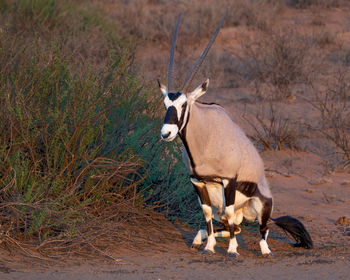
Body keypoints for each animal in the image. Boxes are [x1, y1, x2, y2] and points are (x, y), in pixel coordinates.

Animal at [158, 13, 312, 258]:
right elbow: (206, 213)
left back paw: (265, 250)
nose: (166, 133)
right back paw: (200, 238)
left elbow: (229, 212)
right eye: (165, 104)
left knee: (261, 228)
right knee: (235, 226)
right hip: (227, 208)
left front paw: (231, 250)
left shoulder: (229, 180)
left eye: (183, 104)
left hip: (262, 205)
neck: (205, 135)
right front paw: (210, 247)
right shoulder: (197, 181)